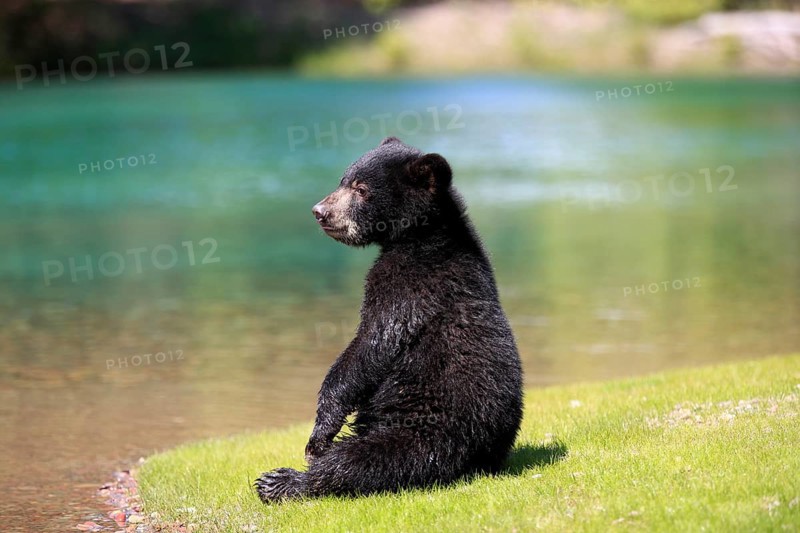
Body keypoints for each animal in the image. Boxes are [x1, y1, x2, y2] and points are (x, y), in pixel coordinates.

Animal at [254, 137, 523, 502]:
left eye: (361, 189)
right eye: (343, 180)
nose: (320, 211)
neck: (418, 239)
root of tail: (485, 461)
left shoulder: (410, 286)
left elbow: (372, 344)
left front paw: (318, 434)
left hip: (425, 433)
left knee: (362, 460)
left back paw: (283, 481)